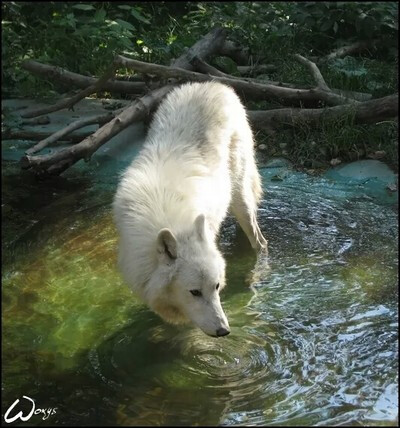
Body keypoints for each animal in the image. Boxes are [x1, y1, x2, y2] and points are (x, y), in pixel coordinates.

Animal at [114, 82, 268, 338]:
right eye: (195, 292)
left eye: (216, 287)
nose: (224, 330)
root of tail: (215, 84)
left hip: (240, 201)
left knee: (259, 241)